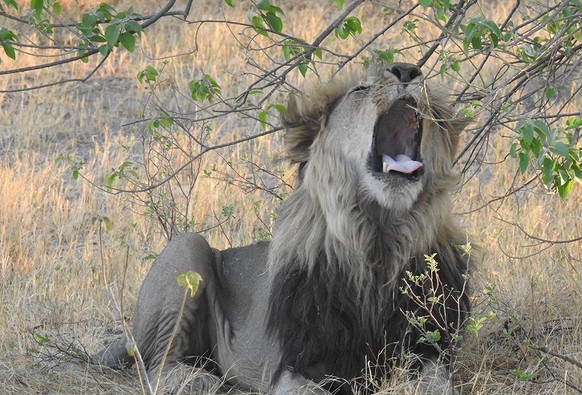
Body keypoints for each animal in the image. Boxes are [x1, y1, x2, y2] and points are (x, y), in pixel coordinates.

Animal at [92, 62, 474, 395]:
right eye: (361, 90)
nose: (407, 70)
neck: (378, 236)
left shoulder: (428, 352)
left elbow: (435, 383)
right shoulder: (293, 366)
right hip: (186, 246)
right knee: (156, 363)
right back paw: (194, 379)